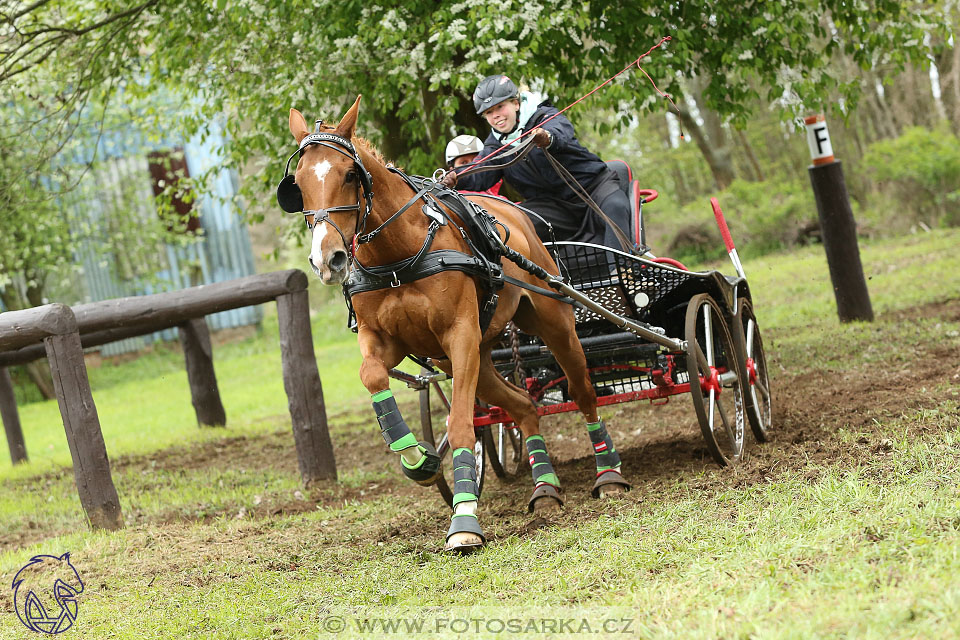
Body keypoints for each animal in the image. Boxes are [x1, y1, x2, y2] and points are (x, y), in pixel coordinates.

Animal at [284, 97, 632, 552]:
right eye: (298, 183)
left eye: (349, 174)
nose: (328, 260)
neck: (399, 254)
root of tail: (517, 216)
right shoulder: (388, 341)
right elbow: (373, 376)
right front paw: (419, 458)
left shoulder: (460, 336)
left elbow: (463, 425)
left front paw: (464, 519)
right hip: (471, 359)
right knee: (523, 404)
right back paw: (544, 488)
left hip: (552, 324)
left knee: (583, 391)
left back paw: (608, 473)